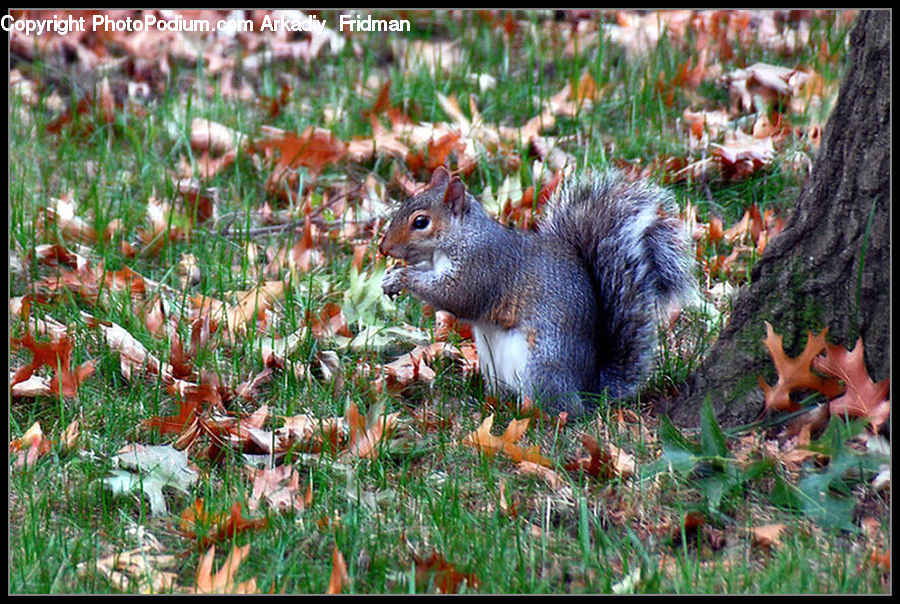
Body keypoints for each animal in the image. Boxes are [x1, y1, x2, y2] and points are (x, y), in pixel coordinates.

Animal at [379, 166, 695, 418]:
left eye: (421, 222)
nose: (383, 248)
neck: (460, 237)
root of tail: (590, 391)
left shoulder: (482, 266)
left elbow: (456, 296)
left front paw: (404, 276)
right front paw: (390, 278)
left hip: (543, 364)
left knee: (561, 409)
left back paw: (529, 414)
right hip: (491, 362)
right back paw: (489, 403)